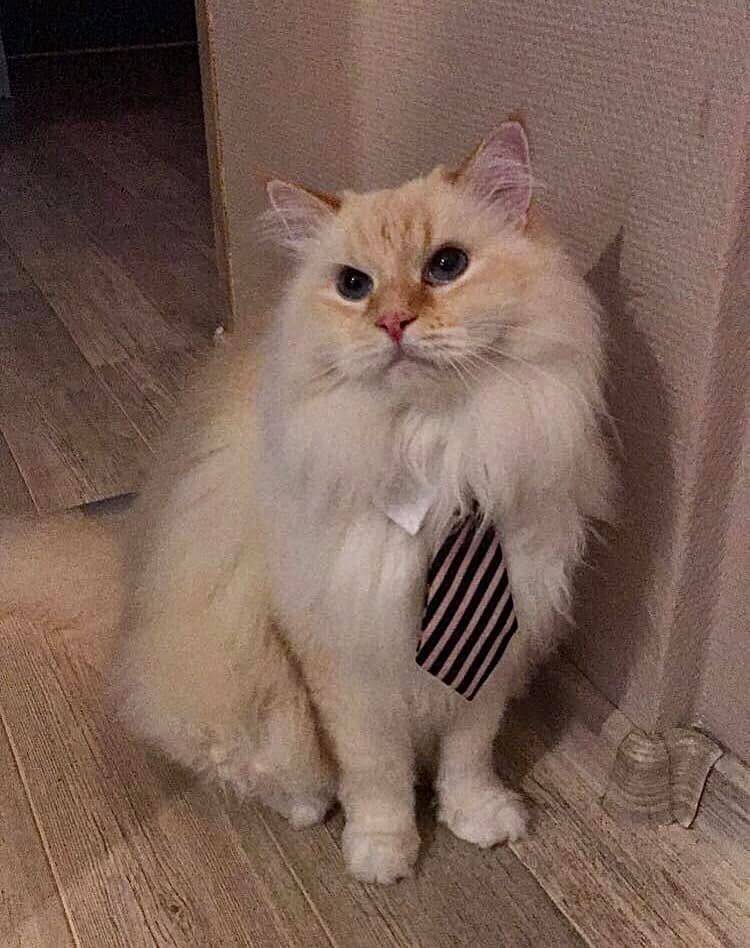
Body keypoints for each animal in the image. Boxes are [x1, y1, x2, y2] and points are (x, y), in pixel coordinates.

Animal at [114, 120, 613, 884]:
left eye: (446, 266)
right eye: (354, 285)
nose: (395, 322)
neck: (436, 457)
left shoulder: (496, 644)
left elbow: (469, 758)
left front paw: (477, 819)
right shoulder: (344, 662)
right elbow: (375, 773)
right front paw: (383, 851)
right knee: (266, 767)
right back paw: (308, 807)